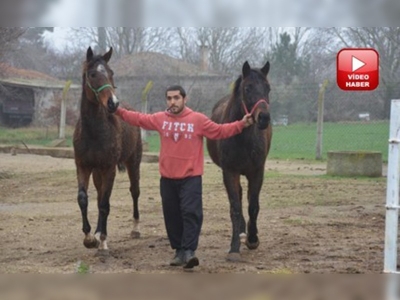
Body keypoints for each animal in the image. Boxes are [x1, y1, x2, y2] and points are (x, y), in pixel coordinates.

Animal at [72, 47, 143, 255]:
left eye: (111, 73)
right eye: (92, 74)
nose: (113, 103)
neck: (94, 132)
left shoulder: (109, 168)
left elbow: (105, 204)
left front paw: (103, 242)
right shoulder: (83, 166)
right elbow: (83, 199)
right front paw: (90, 237)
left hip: (133, 162)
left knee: (134, 191)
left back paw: (135, 229)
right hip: (97, 172)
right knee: (98, 196)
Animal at [206, 60, 272, 260]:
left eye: (268, 88)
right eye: (248, 88)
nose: (264, 118)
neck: (243, 138)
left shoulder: (257, 172)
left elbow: (253, 206)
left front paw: (253, 239)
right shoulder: (230, 172)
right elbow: (235, 207)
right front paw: (234, 247)